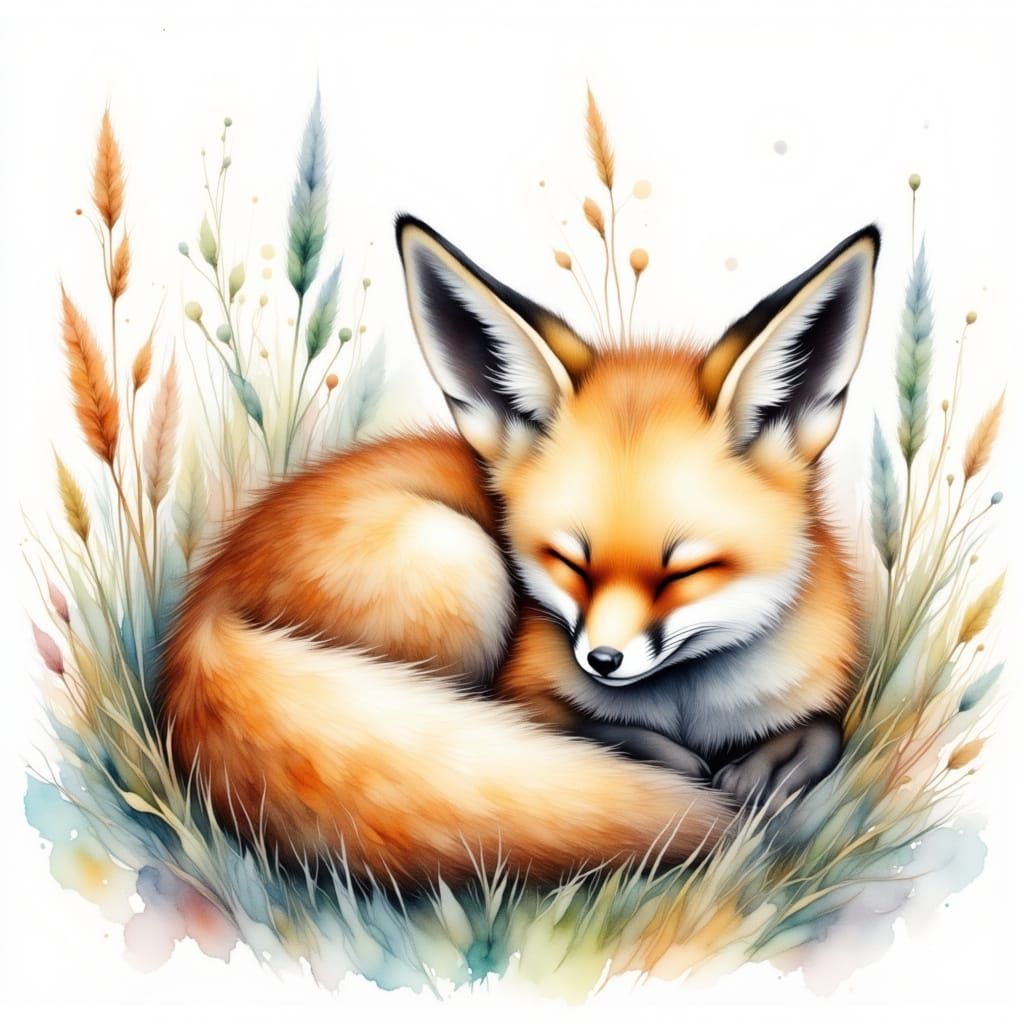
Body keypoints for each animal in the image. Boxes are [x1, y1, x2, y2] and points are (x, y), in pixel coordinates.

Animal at [157, 215, 880, 887]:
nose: (603, 660)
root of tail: (205, 606)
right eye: (569, 561)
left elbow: (826, 729)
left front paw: (771, 767)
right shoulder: (525, 689)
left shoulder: (819, 693)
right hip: (458, 558)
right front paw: (678, 771)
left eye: (686, 570)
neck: (688, 704)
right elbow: (577, 727)